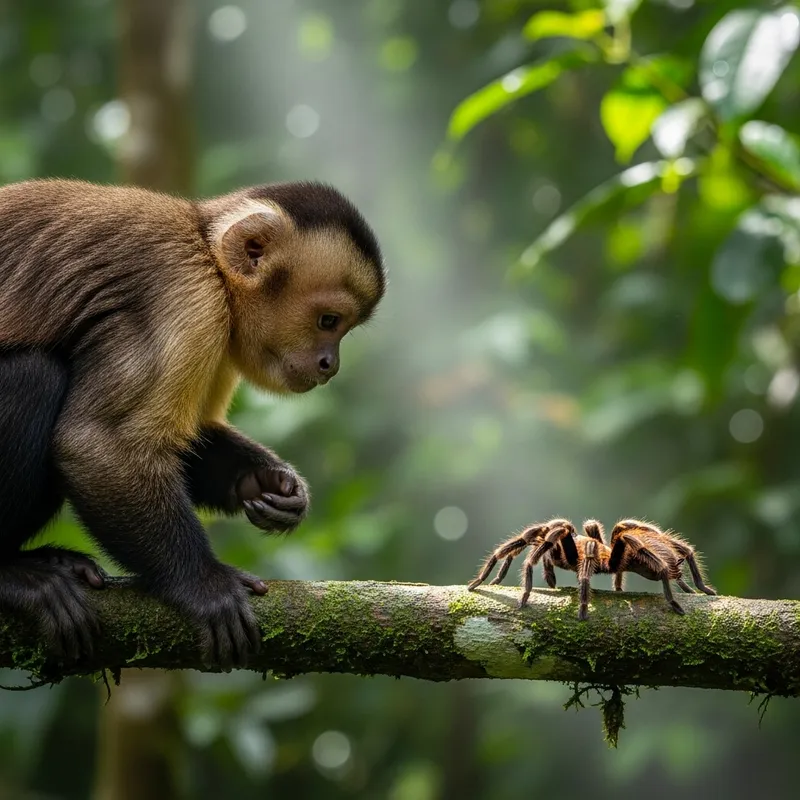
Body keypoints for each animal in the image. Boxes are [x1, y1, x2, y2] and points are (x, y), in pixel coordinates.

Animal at [0, 178, 385, 670]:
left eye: (341, 330)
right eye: (328, 321)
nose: (330, 365)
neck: (208, 254)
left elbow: (190, 438)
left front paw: (271, 484)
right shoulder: (186, 300)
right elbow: (98, 444)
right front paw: (204, 585)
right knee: (33, 376)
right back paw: (10, 574)